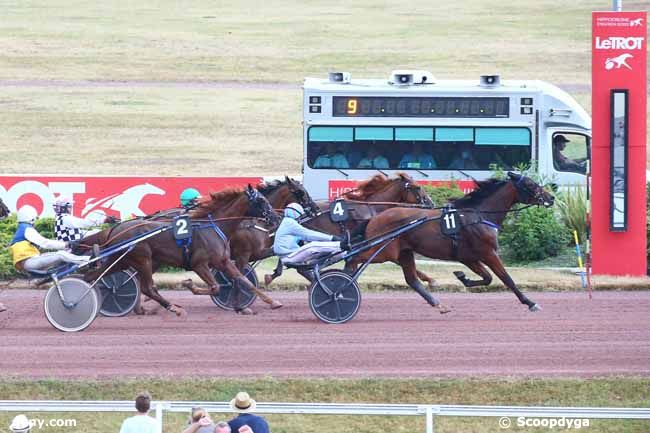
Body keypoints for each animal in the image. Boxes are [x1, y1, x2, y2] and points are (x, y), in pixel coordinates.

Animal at [81, 185, 276, 314]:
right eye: (261, 200)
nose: (275, 217)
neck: (213, 226)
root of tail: (115, 229)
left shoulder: (223, 261)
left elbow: (243, 280)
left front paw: (270, 302)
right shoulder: (199, 264)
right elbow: (215, 287)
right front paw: (189, 284)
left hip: (121, 261)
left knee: (92, 276)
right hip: (143, 259)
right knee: (147, 287)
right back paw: (172, 307)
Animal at [346, 174, 556, 312]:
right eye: (530, 184)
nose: (551, 197)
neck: (478, 215)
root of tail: (375, 218)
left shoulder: (469, 257)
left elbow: (487, 278)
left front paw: (463, 277)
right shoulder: (488, 253)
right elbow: (507, 279)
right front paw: (530, 302)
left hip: (404, 252)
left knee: (412, 279)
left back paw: (438, 304)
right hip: (383, 252)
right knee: (352, 258)